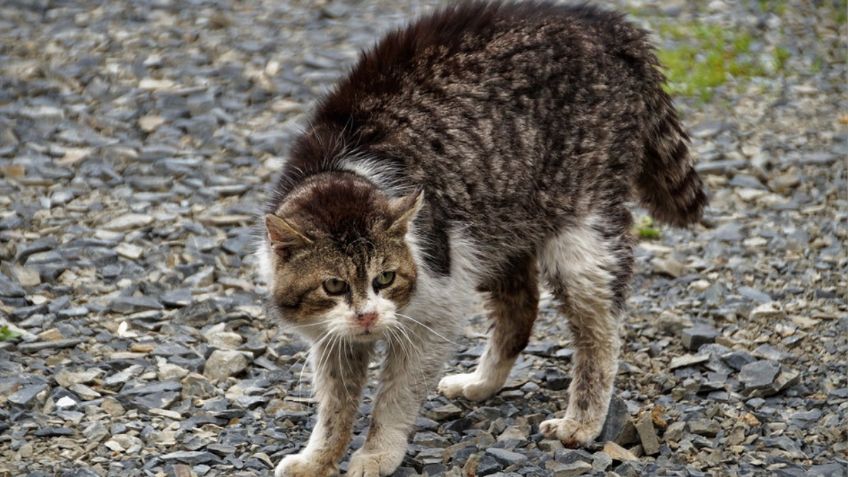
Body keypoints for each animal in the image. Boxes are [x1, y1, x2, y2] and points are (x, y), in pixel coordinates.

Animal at [260, 1, 708, 474]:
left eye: (385, 278)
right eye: (333, 285)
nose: (367, 316)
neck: (340, 171)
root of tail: (604, 22)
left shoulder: (437, 307)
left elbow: (395, 396)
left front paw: (378, 452)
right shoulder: (332, 336)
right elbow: (335, 406)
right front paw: (319, 458)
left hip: (580, 232)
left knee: (600, 331)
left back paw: (583, 420)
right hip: (495, 222)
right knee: (520, 308)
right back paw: (483, 382)